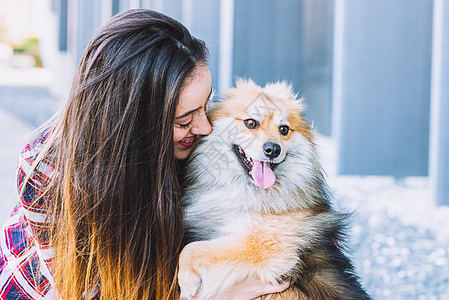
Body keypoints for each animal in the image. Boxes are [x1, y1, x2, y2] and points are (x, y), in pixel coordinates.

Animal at [177, 79, 370, 300]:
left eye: (284, 129)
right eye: (251, 123)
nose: (273, 149)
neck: (246, 191)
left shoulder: (263, 245)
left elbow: (191, 249)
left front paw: (186, 282)